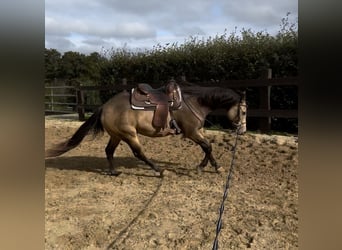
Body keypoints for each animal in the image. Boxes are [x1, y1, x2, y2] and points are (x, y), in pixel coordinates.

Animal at [46, 81, 248, 177]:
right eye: (244, 111)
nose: (243, 131)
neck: (193, 102)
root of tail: (104, 106)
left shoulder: (198, 131)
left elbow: (208, 147)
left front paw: (214, 166)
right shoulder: (191, 132)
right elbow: (207, 146)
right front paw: (203, 167)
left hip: (117, 135)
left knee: (109, 151)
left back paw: (113, 172)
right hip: (129, 134)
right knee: (139, 153)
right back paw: (159, 171)